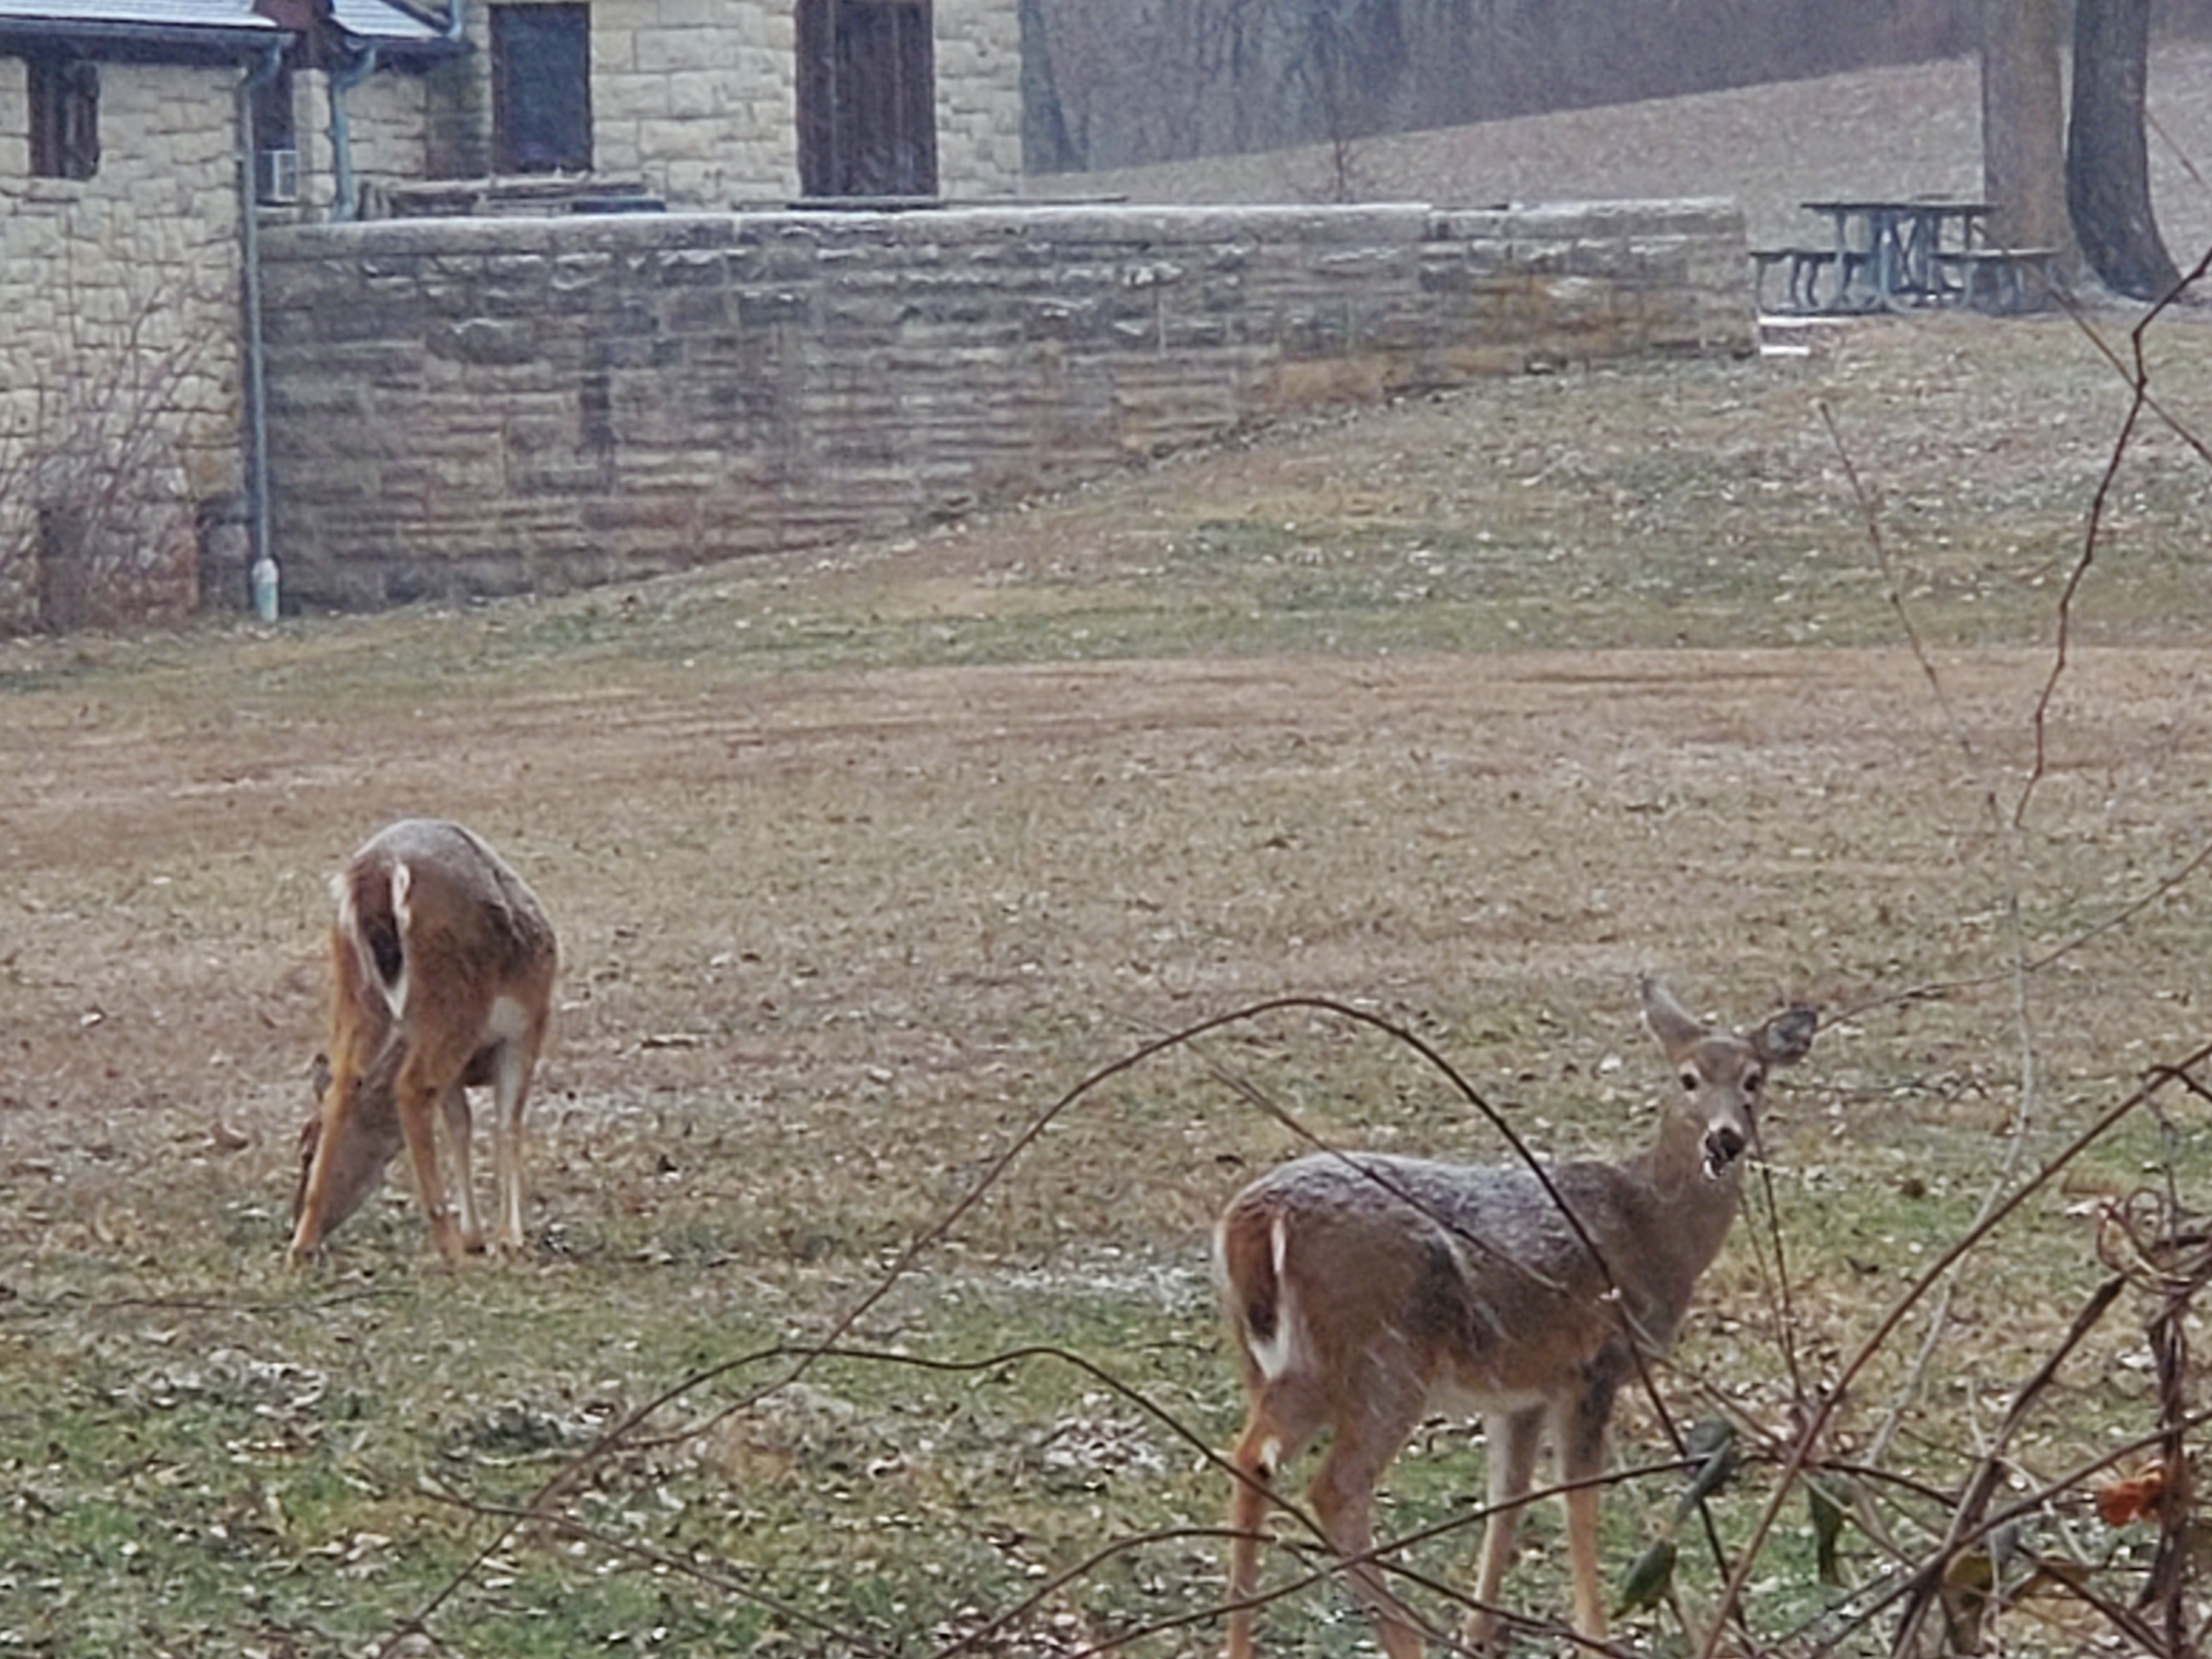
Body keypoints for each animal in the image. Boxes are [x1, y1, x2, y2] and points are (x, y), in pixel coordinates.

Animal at [289, 818, 558, 1265]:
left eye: (305, 1148)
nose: (290, 1217)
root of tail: (378, 872)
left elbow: (460, 1126)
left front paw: (477, 1235)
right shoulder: (527, 1031)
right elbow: (507, 1125)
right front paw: (506, 1237)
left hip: (354, 986)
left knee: (345, 1083)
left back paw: (304, 1245)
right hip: (454, 998)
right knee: (412, 1087)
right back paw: (448, 1248)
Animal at [1216, 978, 1819, 1658]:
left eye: (1753, 1079)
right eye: (1687, 1078)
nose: (1725, 1140)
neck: (1654, 1229)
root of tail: (1255, 1221)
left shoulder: (1522, 1387)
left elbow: (1509, 1496)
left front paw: (1480, 1630)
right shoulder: (1595, 1364)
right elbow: (1578, 1497)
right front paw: (1594, 1633)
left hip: (1280, 1364)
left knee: (1250, 1459)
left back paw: (1238, 1640)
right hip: (1384, 1358)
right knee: (1335, 1487)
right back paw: (1404, 1635)